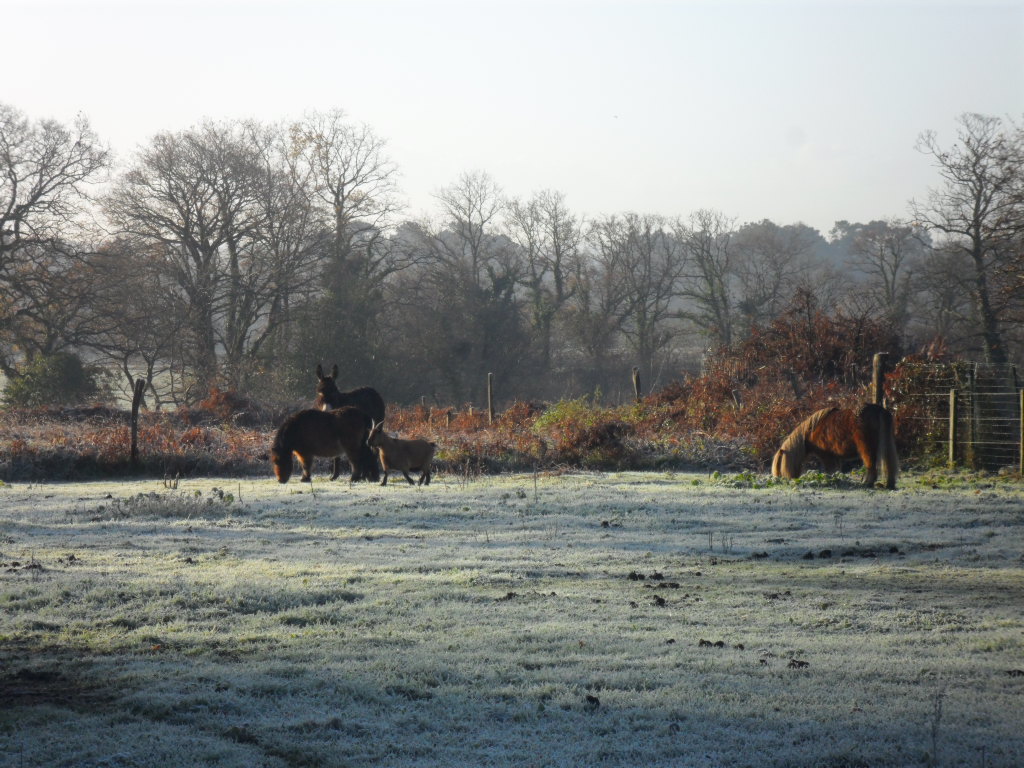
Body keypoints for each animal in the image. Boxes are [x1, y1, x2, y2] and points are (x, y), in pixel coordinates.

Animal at [770, 405, 901, 489]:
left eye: (779, 466)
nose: (782, 480)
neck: (811, 431)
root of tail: (878, 410)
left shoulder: (826, 456)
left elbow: (830, 471)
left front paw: (830, 481)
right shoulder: (835, 457)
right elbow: (836, 471)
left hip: (867, 449)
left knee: (871, 467)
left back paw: (867, 484)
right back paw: (889, 485)